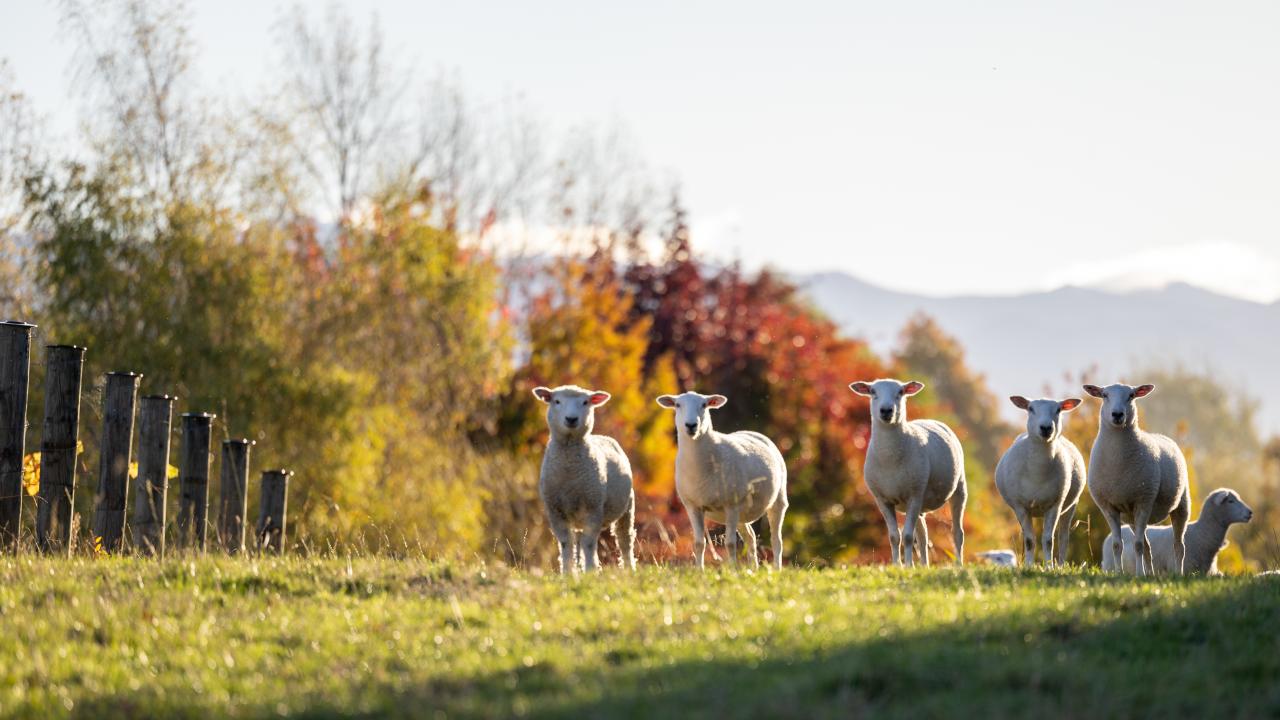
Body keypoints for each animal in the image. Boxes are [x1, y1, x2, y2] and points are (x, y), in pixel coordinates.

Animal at [533, 385, 636, 575]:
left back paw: (629, 569)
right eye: (556, 401)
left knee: (625, 540)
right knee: (579, 541)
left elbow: (589, 544)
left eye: (585, 402)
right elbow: (566, 543)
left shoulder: (593, 508)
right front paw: (567, 573)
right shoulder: (555, 510)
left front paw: (590, 571)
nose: (571, 419)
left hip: (627, 507)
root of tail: (601, 436)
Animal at [655, 391, 788, 569]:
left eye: (704, 405)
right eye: (677, 405)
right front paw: (700, 571)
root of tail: (753, 432)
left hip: (777, 500)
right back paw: (754, 568)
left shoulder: (731, 504)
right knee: (751, 537)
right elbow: (699, 543)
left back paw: (777, 569)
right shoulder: (693, 506)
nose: (691, 425)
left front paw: (732, 570)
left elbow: (730, 544)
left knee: (776, 540)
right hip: (741, 512)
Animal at [849, 379, 967, 566]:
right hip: (919, 499)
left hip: (958, 488)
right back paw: (924, 566)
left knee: (957, 533)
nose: (886, 410)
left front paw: (908, 566)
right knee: (923, 535)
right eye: (873, 392)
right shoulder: (882, 500)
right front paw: (898, 566)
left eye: (900, 392)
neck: (890, 459)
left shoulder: (914, 495)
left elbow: (907, 536)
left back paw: (958, 565)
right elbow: (894, 537)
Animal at [994, 396, 1086, 566]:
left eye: (1058, 410)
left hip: (1071, 505)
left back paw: (1061, 565)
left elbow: (1049, 540)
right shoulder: (1020, 506)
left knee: (1064, 538)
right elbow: (1030, 541)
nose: (1046, 428)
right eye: (1031, 409)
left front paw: (1049, 566)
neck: (1038, 472)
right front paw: (1029, 566)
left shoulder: (1055, 504)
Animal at [1083, 382, 1191, 576]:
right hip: (1132, 517)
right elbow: (1117, 545)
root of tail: (1161, 435)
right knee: (1148, 547)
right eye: (1104, 395)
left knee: (1179, 546)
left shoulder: (1144, 501)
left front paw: (1139, 574)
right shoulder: (1109, 507)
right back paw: (1151, 574)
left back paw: (1178, 573)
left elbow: (1138, 545)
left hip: (1181, 504)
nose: (1117, 415)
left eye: (1131, 396)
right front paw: (1119, 573)